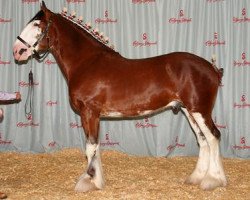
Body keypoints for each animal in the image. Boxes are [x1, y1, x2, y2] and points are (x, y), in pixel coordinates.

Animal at [12, 1, 227, 192]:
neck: (86, 62)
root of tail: (212, 69)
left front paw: (88, 181)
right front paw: (97, 180)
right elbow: (95, 146)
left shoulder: (89, 112)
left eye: (36, 25)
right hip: (188, 111)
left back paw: (212, 180)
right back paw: (196, 178)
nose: (17, 51)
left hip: (199, 110)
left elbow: (90, 147)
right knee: (203, 140)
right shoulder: (92, 115)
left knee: (213, 137)